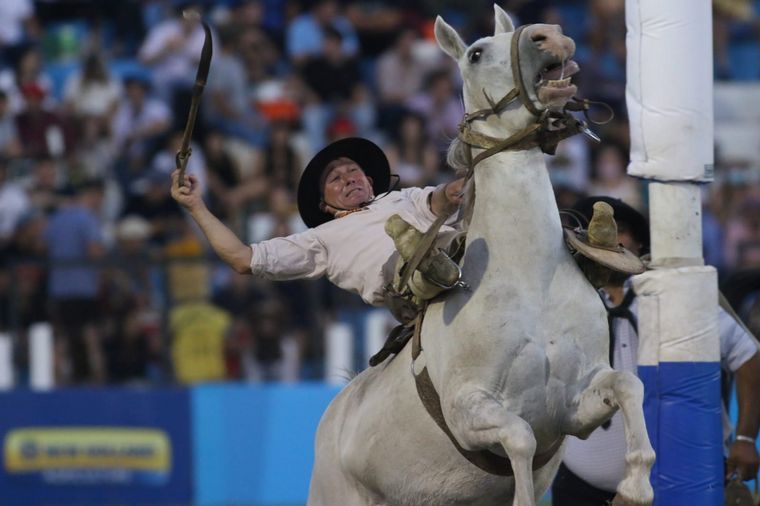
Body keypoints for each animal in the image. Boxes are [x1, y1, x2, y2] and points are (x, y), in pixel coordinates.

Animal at [308, 6, 652, 506]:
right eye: (474, 53)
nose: (550, 37)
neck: (530, 280)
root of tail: (334, 417)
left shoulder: (576, 404)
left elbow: (628, 384)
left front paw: (634, 487)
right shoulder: (469, 411)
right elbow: (520, 436)